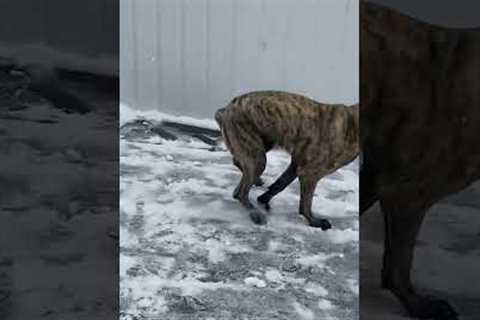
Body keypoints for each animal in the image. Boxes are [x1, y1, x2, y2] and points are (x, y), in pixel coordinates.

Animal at [216, 91, 358, 229]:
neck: (352, 125)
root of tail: (227, 108)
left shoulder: (296, 164)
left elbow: (280, 184)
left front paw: (263, 199)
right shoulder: (309, 174)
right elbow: (305, 203)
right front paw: (313, 221)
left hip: (262, 145)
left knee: (239, 166)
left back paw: (255, 183)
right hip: (258, 157)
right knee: (241, 192)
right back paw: (255, 214)